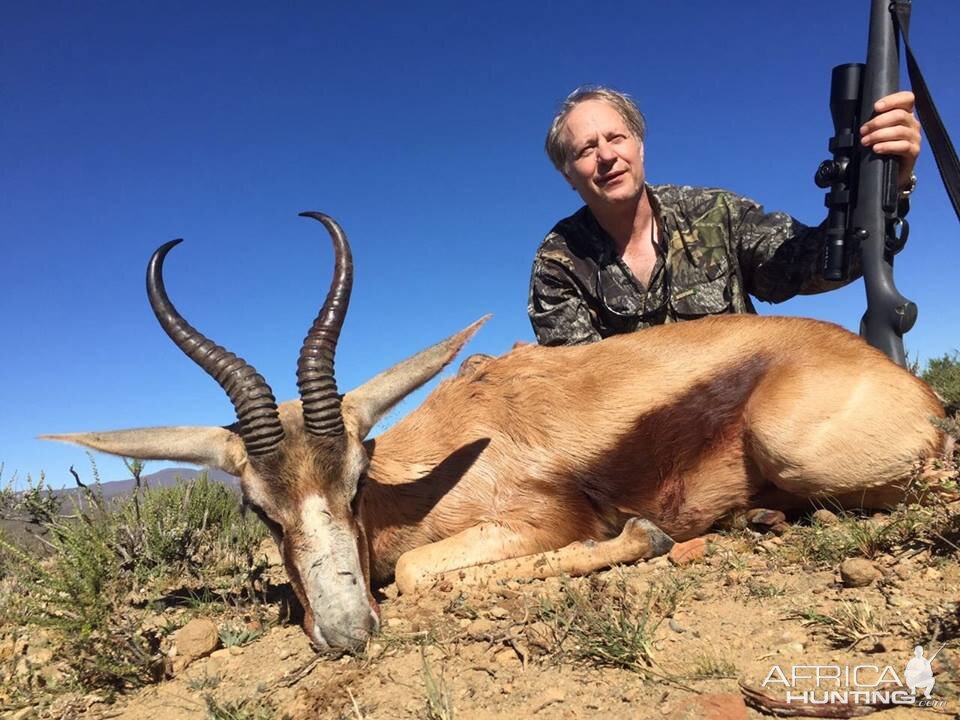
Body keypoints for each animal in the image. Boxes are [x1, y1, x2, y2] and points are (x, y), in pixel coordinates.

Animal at [47, 211, 944, 648]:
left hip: (799, 448)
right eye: (259, 511)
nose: (345, 635)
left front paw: (642, 537)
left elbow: (417, 575)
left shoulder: (538, 521)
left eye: (355, 482)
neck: (419, 485)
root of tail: (910, 389)